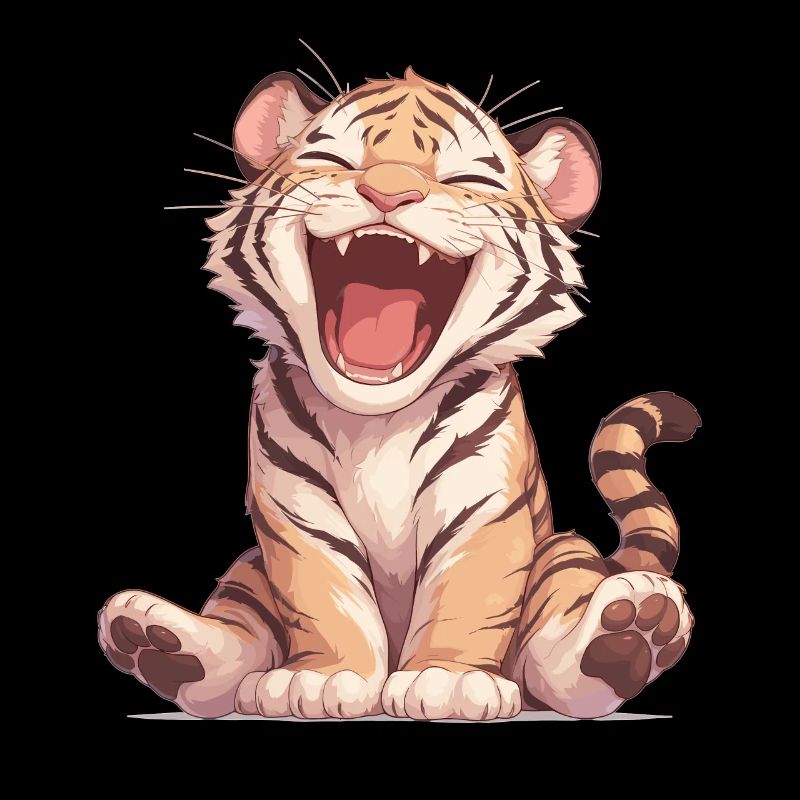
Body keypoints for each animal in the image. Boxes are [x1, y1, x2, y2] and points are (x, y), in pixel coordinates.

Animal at [98, 67, 699, 720]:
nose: (389, 193)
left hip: (558, 555)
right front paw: (324, 679)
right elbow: (323, 592)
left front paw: (446, 681)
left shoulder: (482, 504)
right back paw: (156, 639)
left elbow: (468, 591)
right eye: (334, 160)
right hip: (247, 571)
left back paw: (631, 633)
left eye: (465, 180)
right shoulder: (296, 510)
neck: (376, 420)